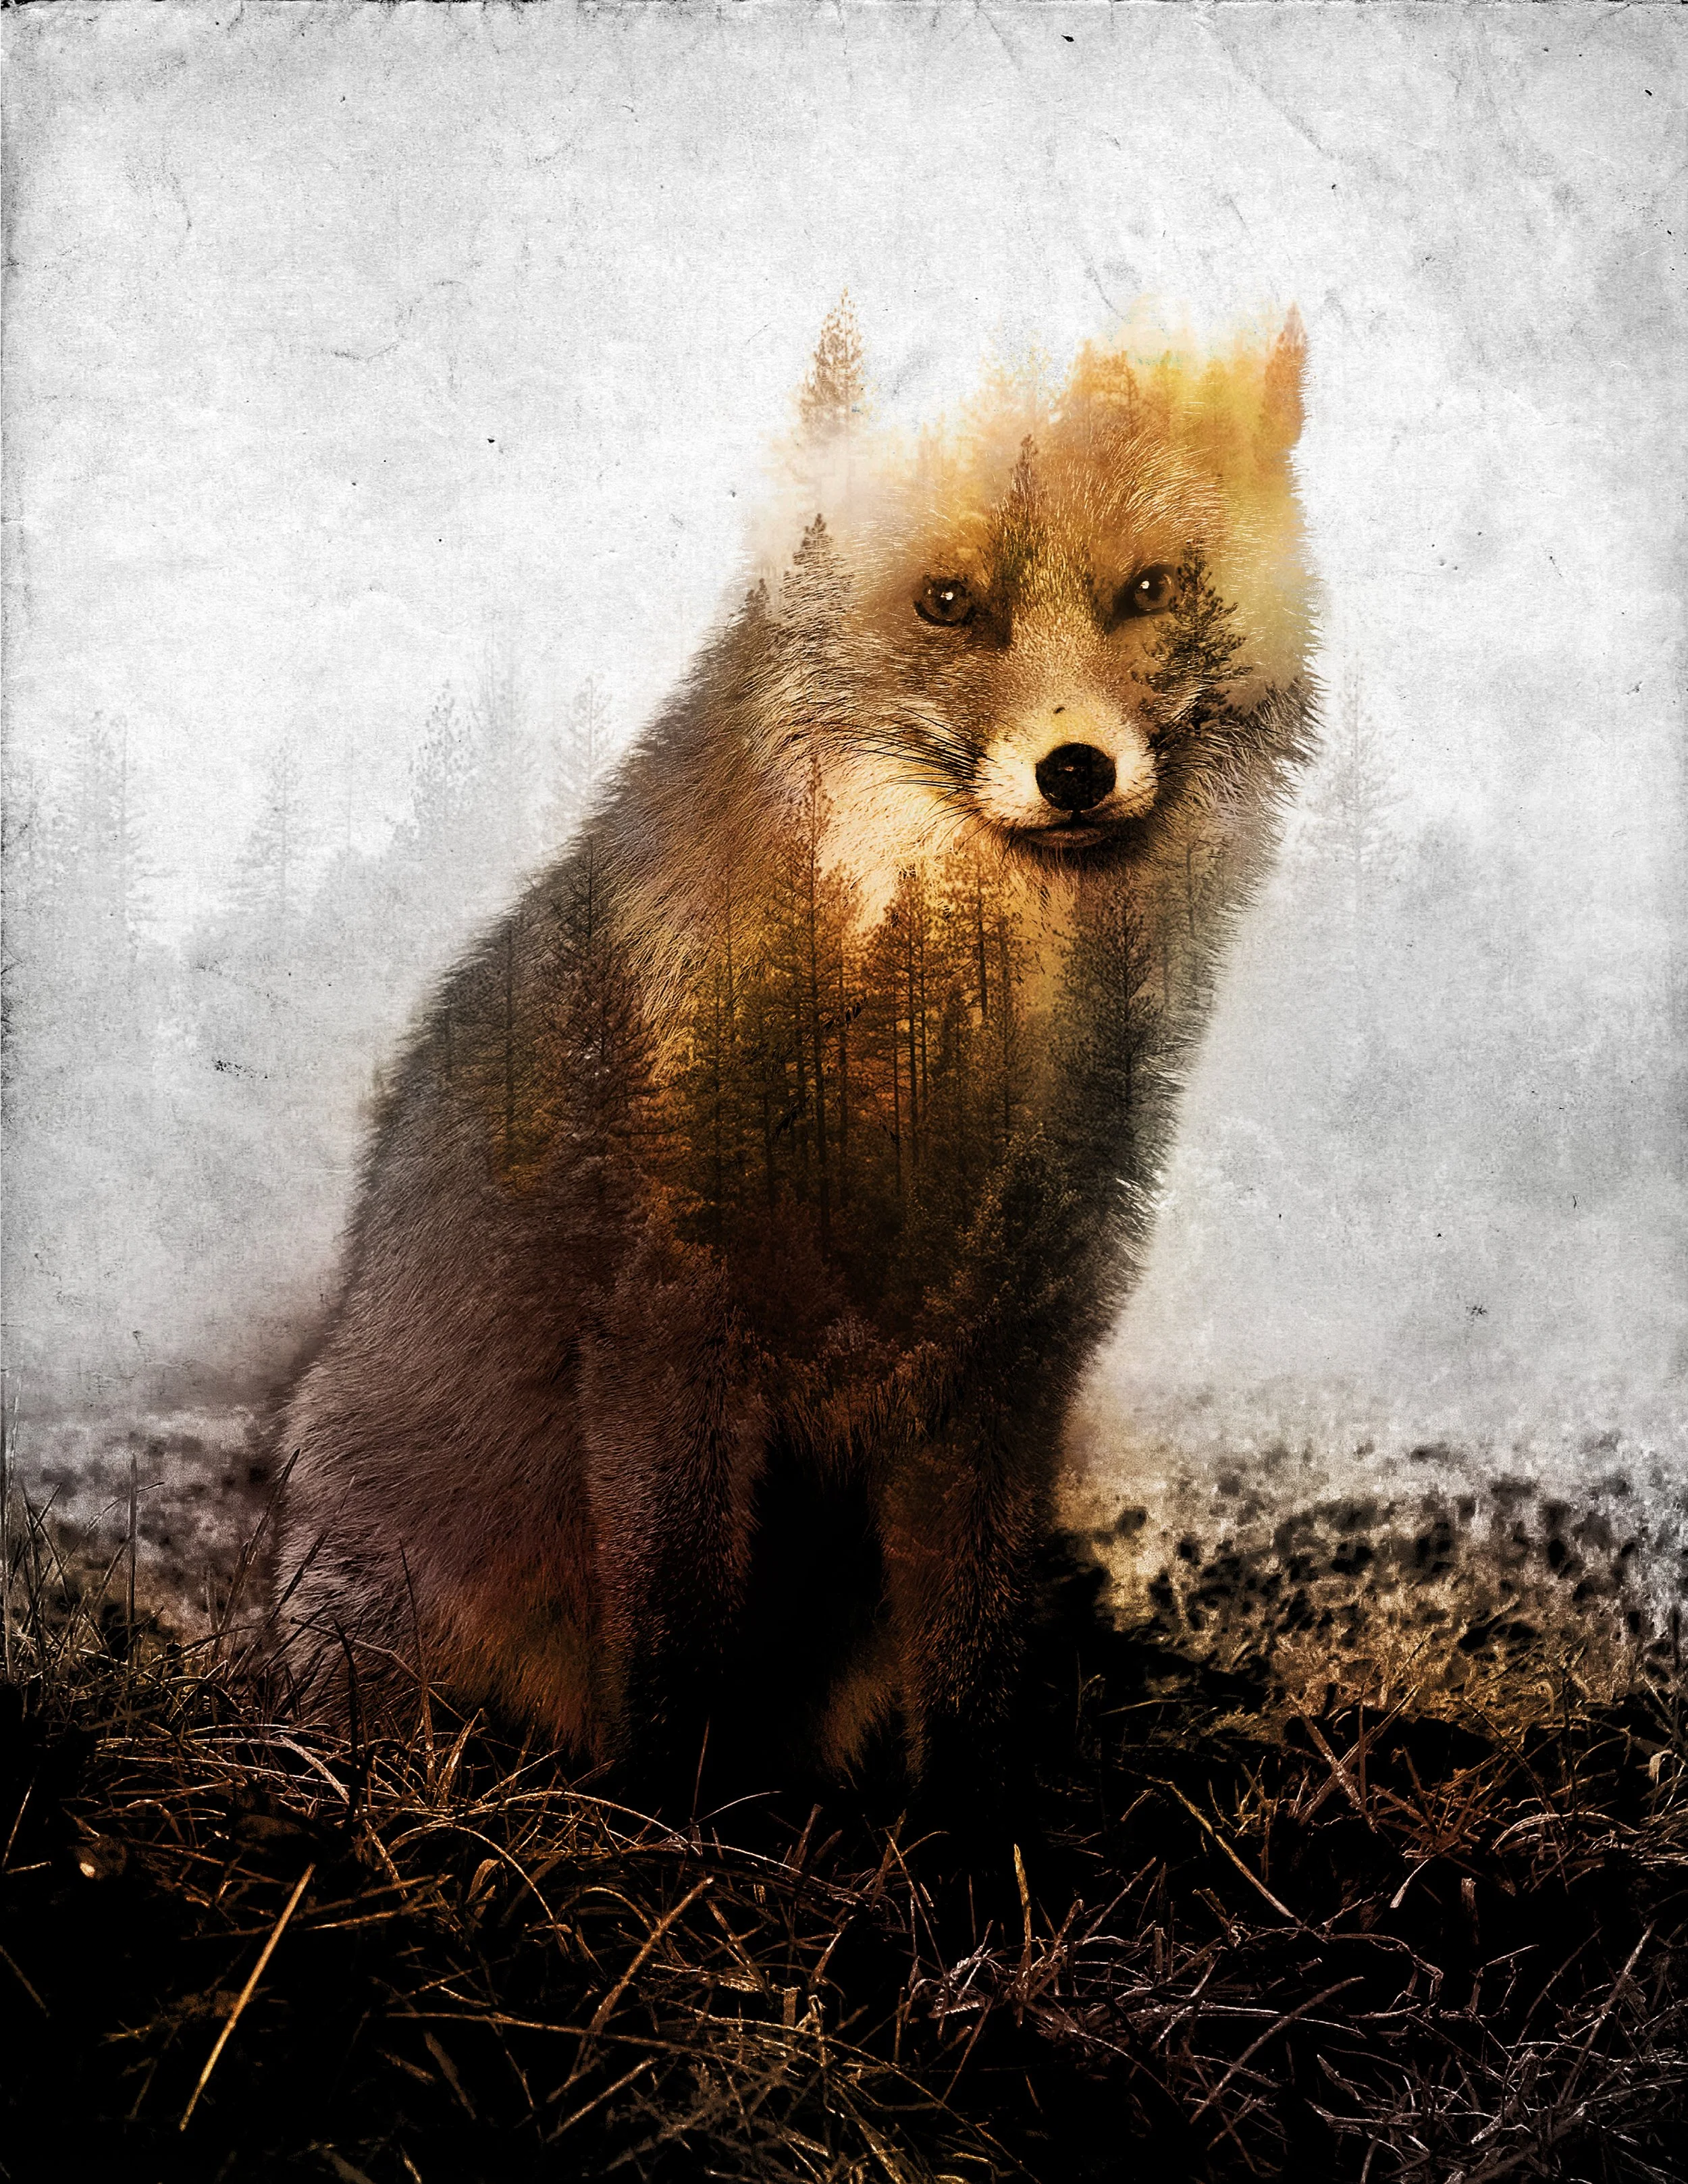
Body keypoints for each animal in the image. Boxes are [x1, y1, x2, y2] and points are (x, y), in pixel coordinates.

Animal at [276, 311, 1317, 1806]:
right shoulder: (666, 1317)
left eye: (1146, 591)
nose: (1073, 769)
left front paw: (980, 1829)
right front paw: (672, 1824)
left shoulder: (1007, 1347)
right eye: (947, 603)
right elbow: (676, 1630)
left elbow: (975, 1645)